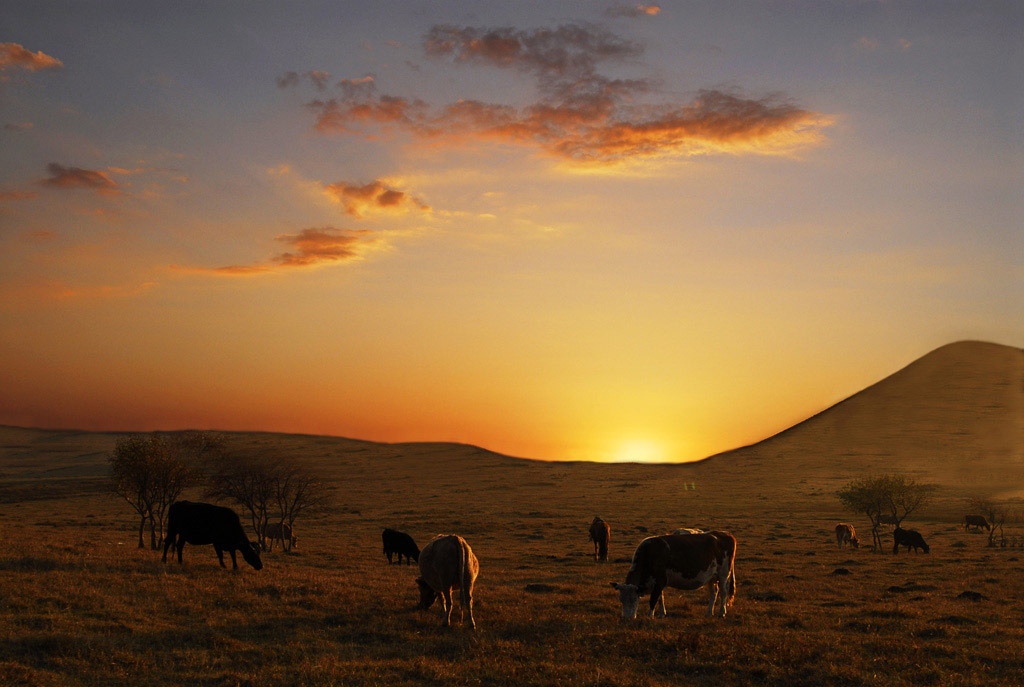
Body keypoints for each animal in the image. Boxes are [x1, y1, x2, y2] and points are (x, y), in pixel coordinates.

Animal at [606, 528, 737, 622]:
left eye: (634, 599)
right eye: (621, 599)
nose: (626, 619)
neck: (649, 553)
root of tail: (726, 534)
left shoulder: (660, 580)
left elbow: (653, 599)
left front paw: (650, 616)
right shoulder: (658, 583)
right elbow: (660, 598)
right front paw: (661, 614)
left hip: (724, 573)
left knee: (723, 591)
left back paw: (722, 613)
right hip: (711, 576)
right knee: (714, 592)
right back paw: (709, 613)